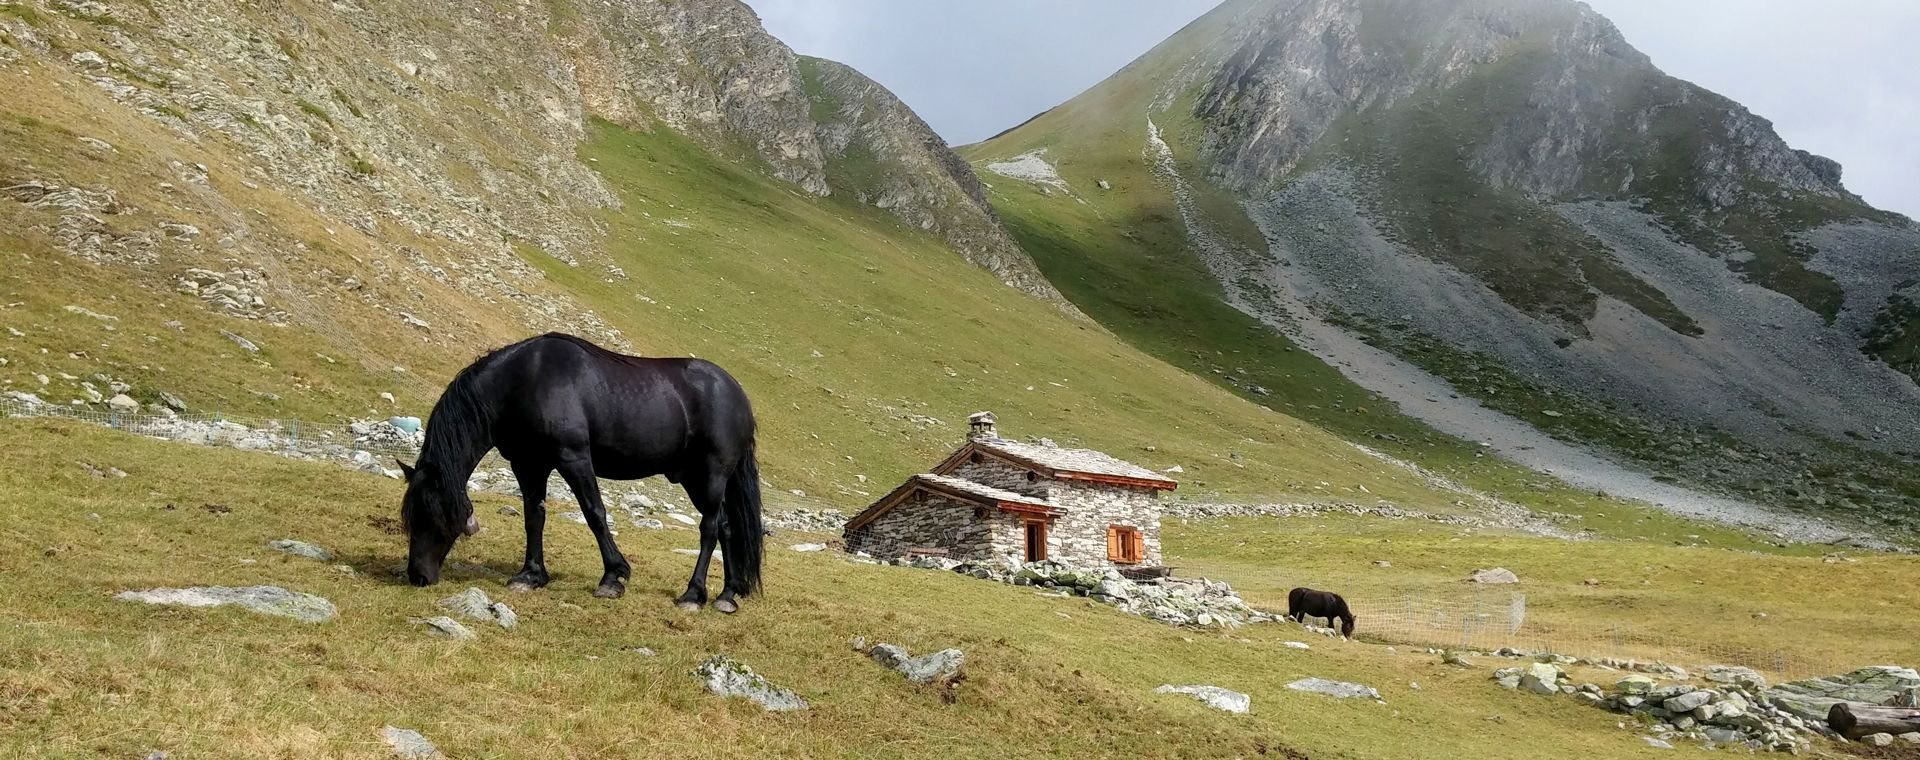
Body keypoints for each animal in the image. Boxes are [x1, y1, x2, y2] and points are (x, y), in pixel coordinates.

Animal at [398, 332, 764, 614]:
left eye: (432, 516)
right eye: (410, 518)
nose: (418, 576)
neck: (522, 381)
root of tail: (738, 396)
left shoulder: (573, 458)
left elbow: (594, 513)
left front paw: (613, 577)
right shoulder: (529, 464)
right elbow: (534, 516)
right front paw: (530, 575)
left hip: (711, 476)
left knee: (710, 529)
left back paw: (693, 595)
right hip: (694, 479)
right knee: (728, 527)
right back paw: (727, 595)